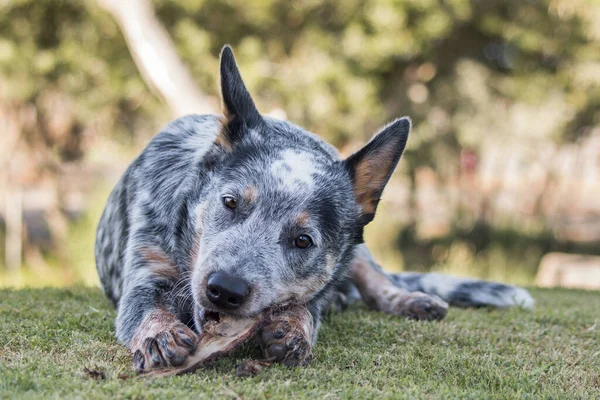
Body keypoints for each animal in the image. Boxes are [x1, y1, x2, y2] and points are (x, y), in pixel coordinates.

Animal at [95, 46, 536, 372]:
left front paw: (295, 325)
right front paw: (160, 333)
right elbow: (147, 306)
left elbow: (309, 304)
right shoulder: (147, 268)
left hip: (361, 251)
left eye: (303, 240)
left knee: (376, 281)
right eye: (230, 202)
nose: (225, 289)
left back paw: (410, 299)